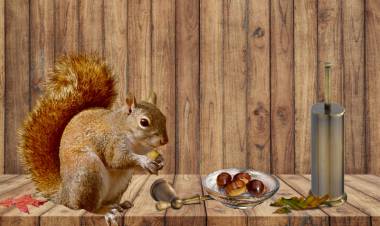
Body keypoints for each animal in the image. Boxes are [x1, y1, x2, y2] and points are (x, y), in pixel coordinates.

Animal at [16, 54, 168, 212]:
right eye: (144, 122)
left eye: (164, 117)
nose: (165, 141)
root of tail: (66, 196)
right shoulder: (112, 141)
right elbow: (117, 160)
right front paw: (144, 161)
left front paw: (160, 159)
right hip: (89, 170)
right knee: (87, 208)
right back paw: (105, 209)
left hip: (120, 182)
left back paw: (120, 204)